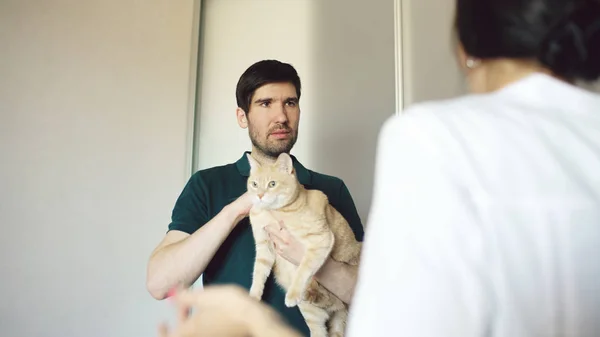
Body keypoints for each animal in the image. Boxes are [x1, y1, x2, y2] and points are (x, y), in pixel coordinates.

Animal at [245, 153, 360, 336]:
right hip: (312, 315)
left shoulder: (321, 240)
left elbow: (303, 269)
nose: (259, 196)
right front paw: (253, 297)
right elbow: (258, 273)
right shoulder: (264, 247)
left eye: (272, 184)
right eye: (254, 184)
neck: (272, 213)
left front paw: (293, 294)